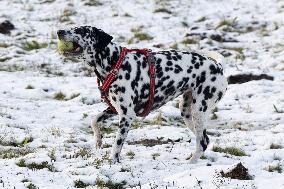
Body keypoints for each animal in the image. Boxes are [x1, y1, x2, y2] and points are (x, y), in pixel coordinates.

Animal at [57, 25, 229, 163]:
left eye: (80, 31)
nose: (59, 31)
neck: (115, 63)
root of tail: (218, 66)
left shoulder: (127, 116)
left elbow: (116, 145)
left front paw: (113, 163)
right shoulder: (114, 109)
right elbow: (94, 120)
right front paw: (98, 140)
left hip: (198, 111)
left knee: (202, 142)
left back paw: (189, 165)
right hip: (187, 112)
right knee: (204, 139)